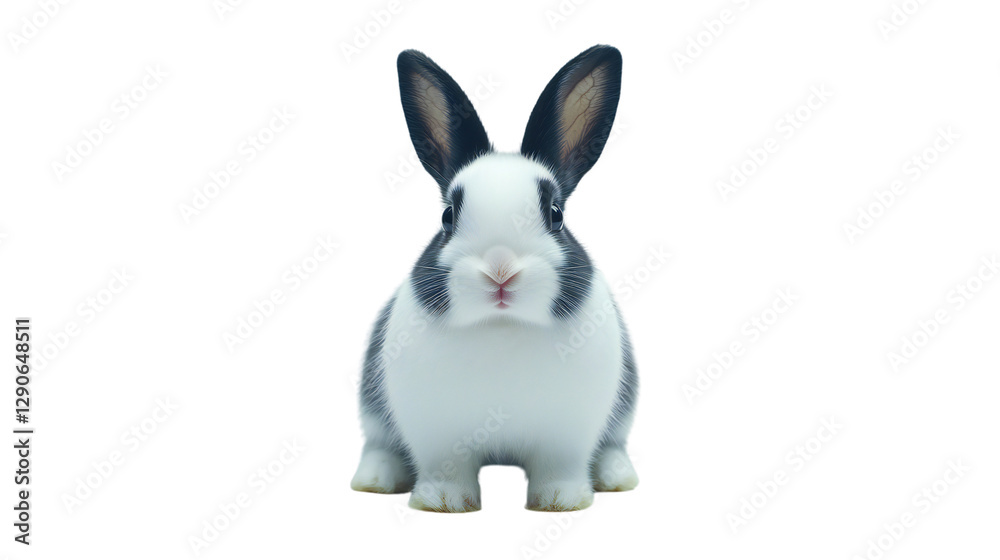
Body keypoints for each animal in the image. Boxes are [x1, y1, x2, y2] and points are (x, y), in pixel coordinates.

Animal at [351, 45, 638, 512]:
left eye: (555, 215)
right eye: (448, 217)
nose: (500, 270)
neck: (502, 326)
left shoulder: (567, 436)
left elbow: (559, 469)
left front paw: (560, 500)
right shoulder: (437, 435)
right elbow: (446, 468)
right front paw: (443, 502)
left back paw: (617, 477)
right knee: (379, 443)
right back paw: (375, 479)